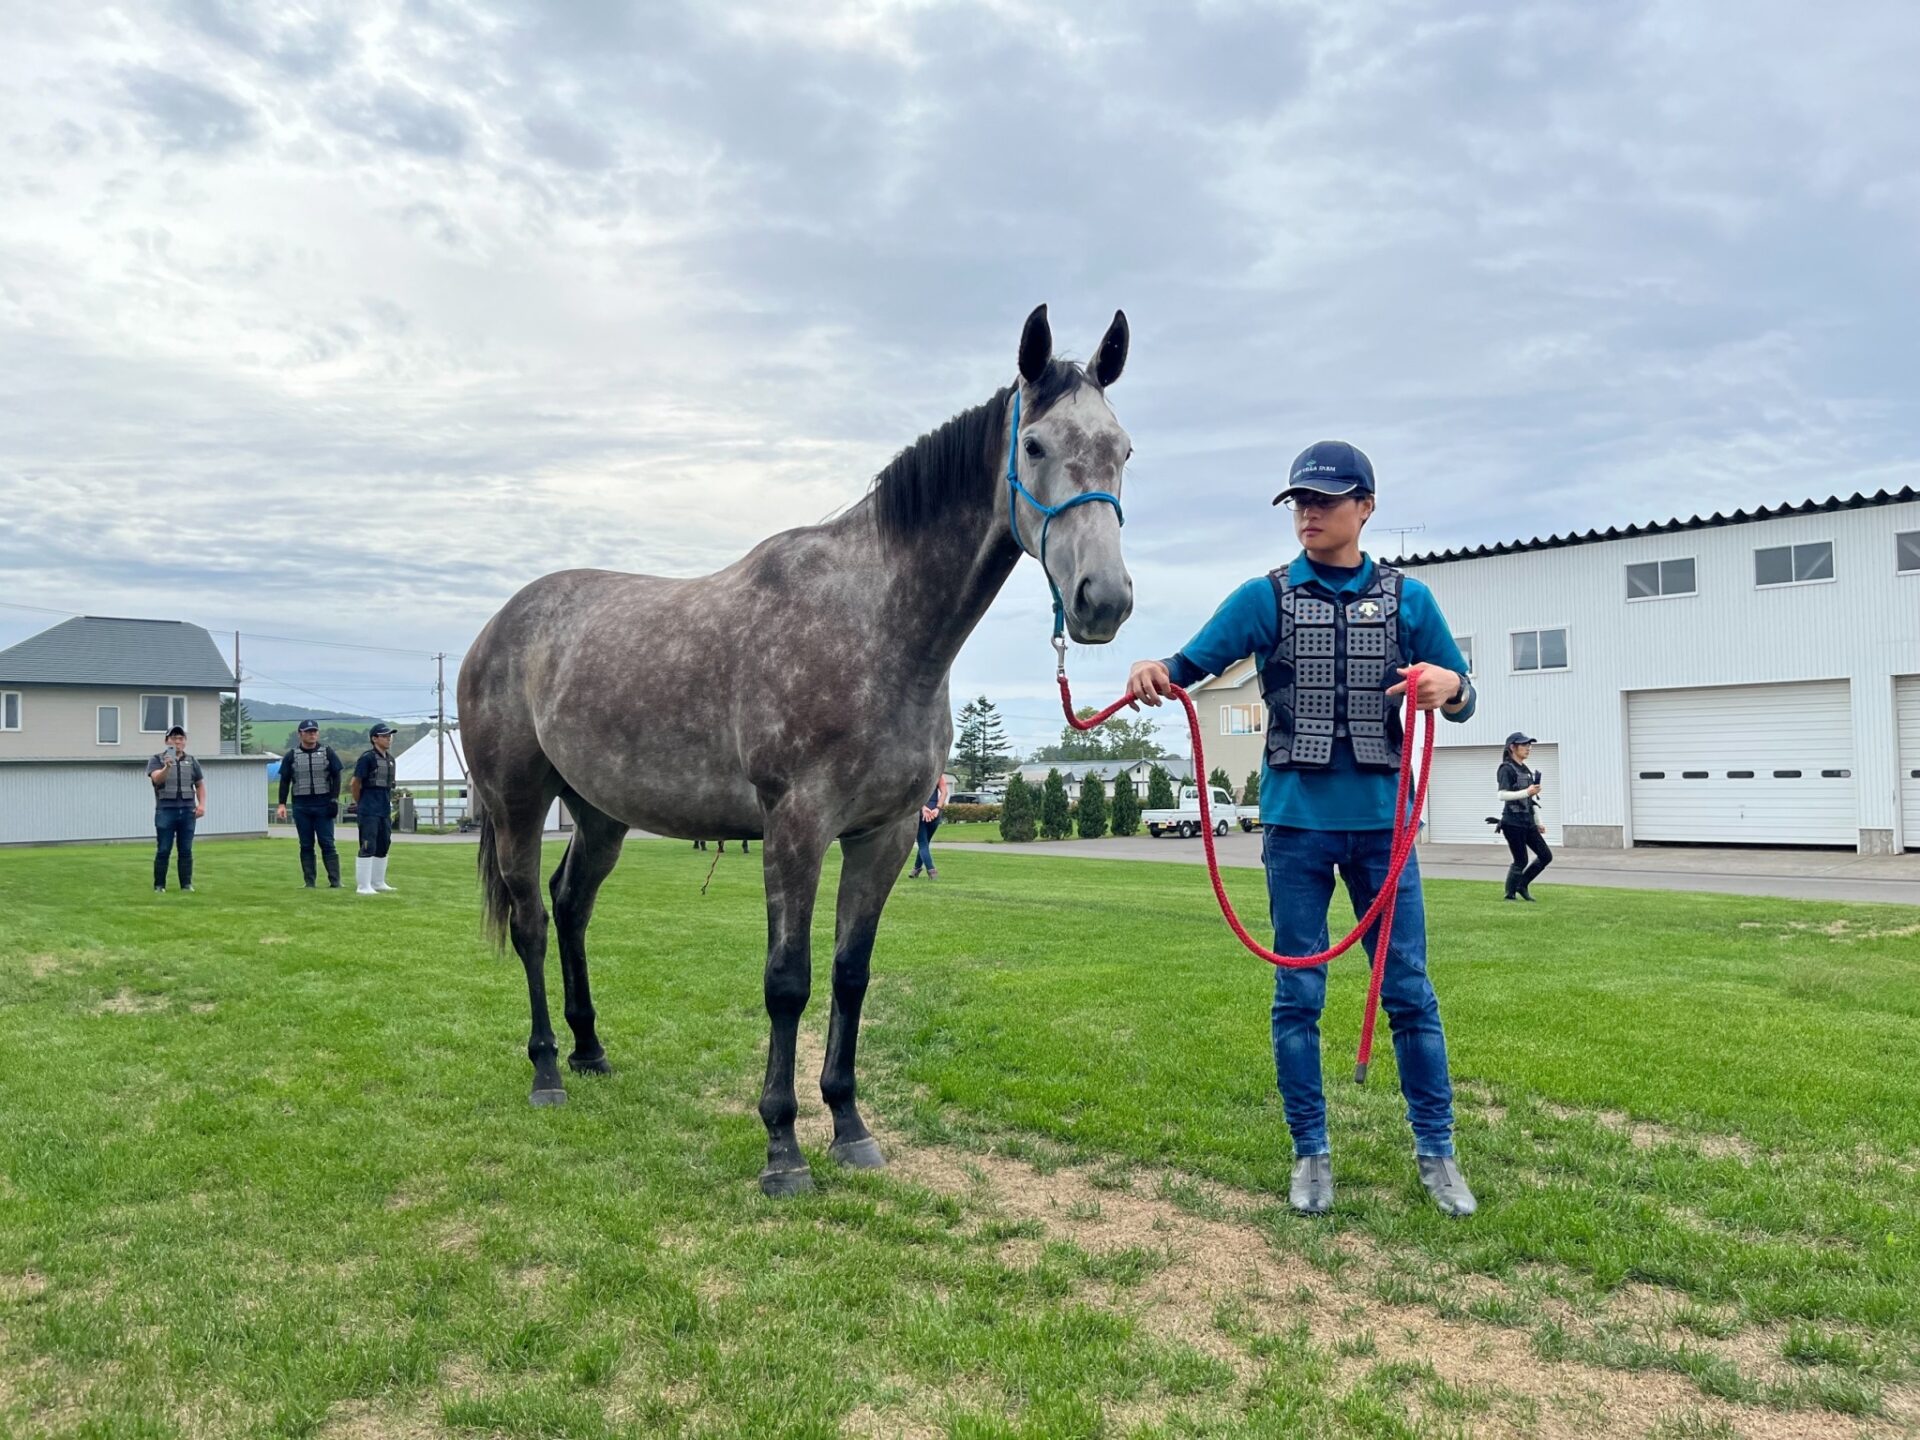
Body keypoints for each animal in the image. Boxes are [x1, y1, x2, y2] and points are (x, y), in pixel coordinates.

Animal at [456, 311, 1128, 1198]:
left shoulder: (882, 836)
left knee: (572, 908)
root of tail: (498, 627)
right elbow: (788, 982)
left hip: (600, 815)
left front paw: (848, 1125)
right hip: (517, 803)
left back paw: (590, 1050)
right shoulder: (796, 829)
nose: (1103, 600)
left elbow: (848, 975)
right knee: (532, 920)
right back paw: (546, 1072)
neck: (877, 626)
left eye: (1124, 449)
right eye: (1036, 445)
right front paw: (782, 1146)